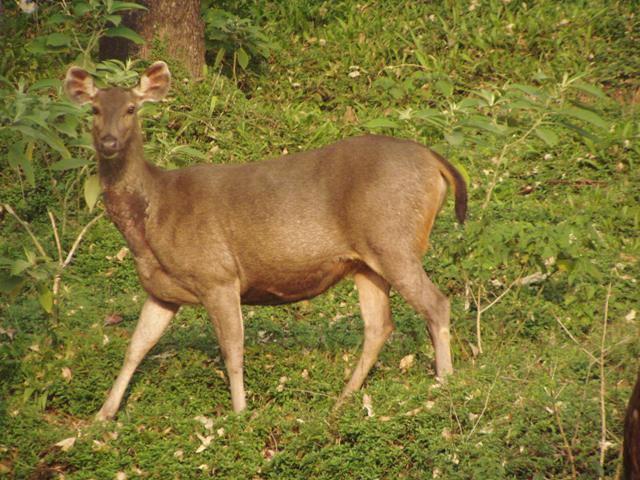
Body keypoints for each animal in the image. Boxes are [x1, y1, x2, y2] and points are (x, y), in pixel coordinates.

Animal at [63, 62, 464, 420]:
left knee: (436, 303)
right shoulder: (161, 291)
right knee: (379, 325)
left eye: (132, 108)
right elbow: (136, 346)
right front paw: (102, 415)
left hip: (393, 239)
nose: (109, 141)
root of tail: (435, 160)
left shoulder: (218, 274)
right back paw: (343, 399)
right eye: (95, 109)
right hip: (366, 261)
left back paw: (445, 384)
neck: (151, 218)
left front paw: (240, 413)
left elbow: (232, 348)